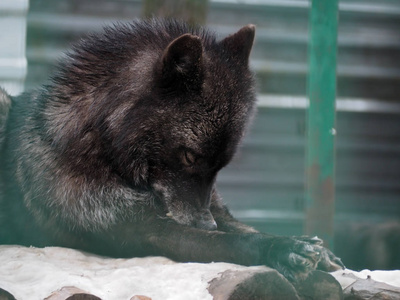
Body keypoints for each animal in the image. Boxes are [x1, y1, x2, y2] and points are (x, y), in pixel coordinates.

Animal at [0, 18, 344, 282]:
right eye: (190, 156)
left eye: (221, 166)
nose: (207, 224)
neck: (105, 148)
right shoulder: (144, 230)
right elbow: (230, 241)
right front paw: (283, 251)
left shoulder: (214, 209)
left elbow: (244, 227)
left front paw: (304, 243)